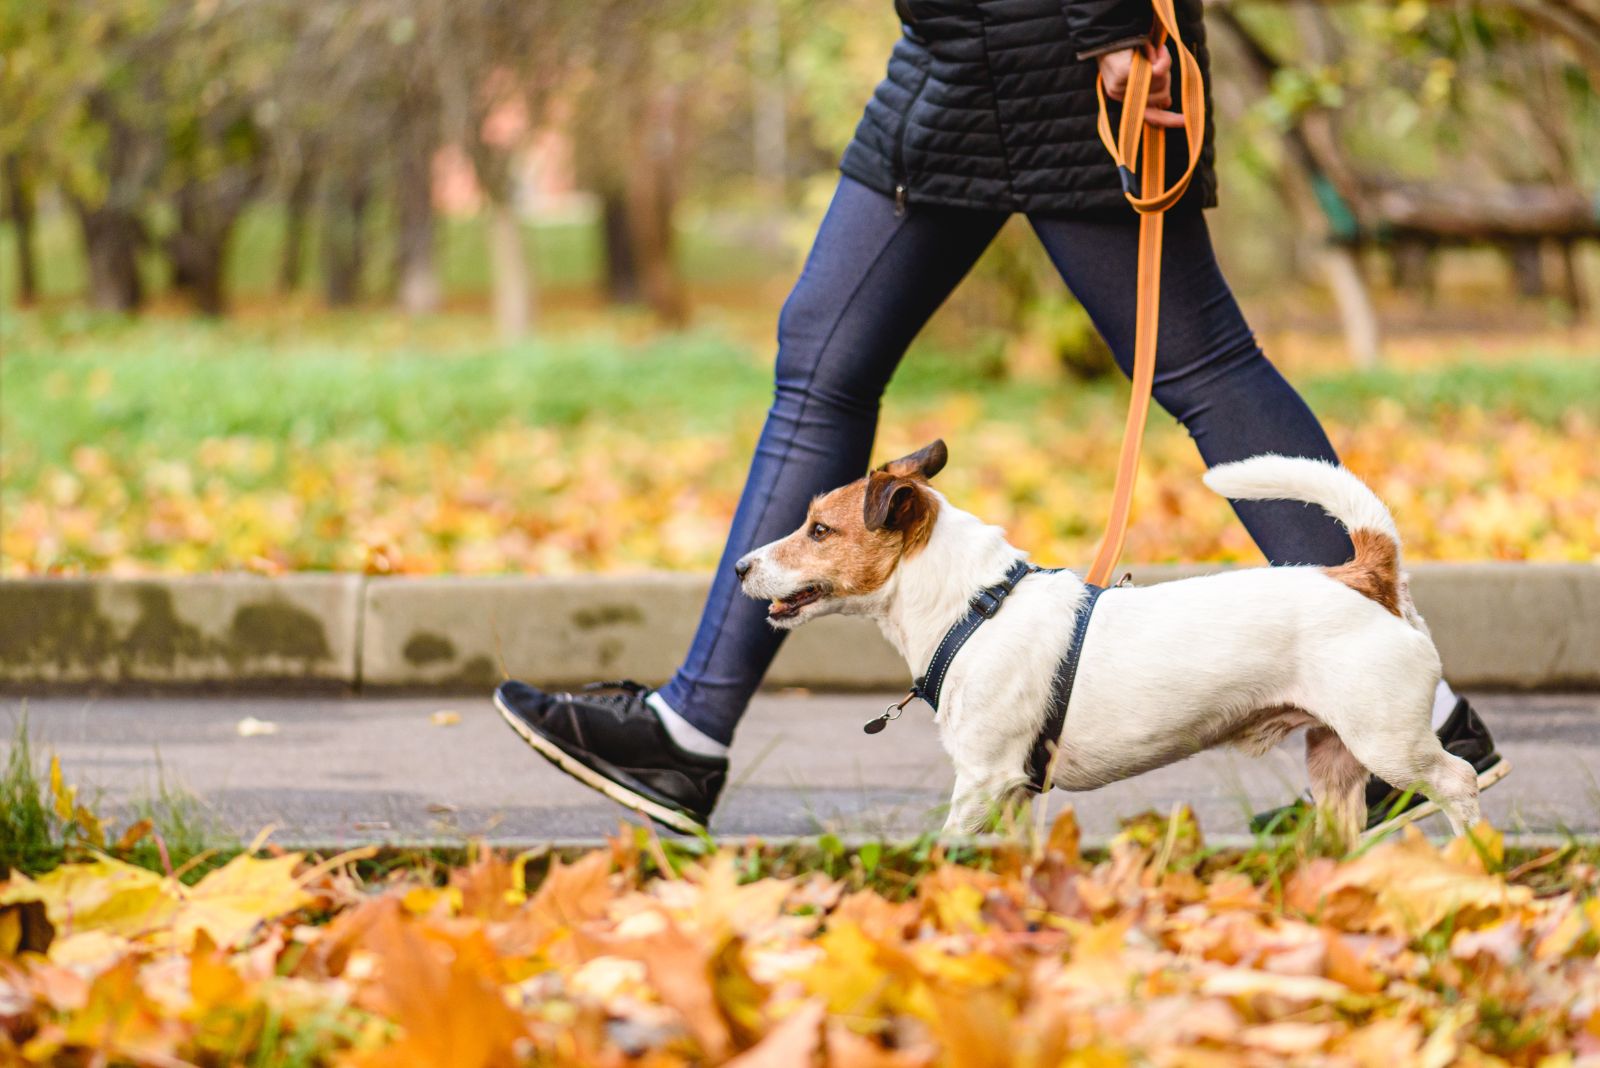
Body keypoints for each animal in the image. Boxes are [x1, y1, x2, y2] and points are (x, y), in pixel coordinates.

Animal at [732, 438, 1472, 837]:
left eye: (819, 530)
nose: (739, 566)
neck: (974, 607)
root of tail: (1366, 574)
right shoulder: (1010, 794)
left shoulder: (982, 778)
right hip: (1336, 763)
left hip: (1389, 744)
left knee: (1458, 781)